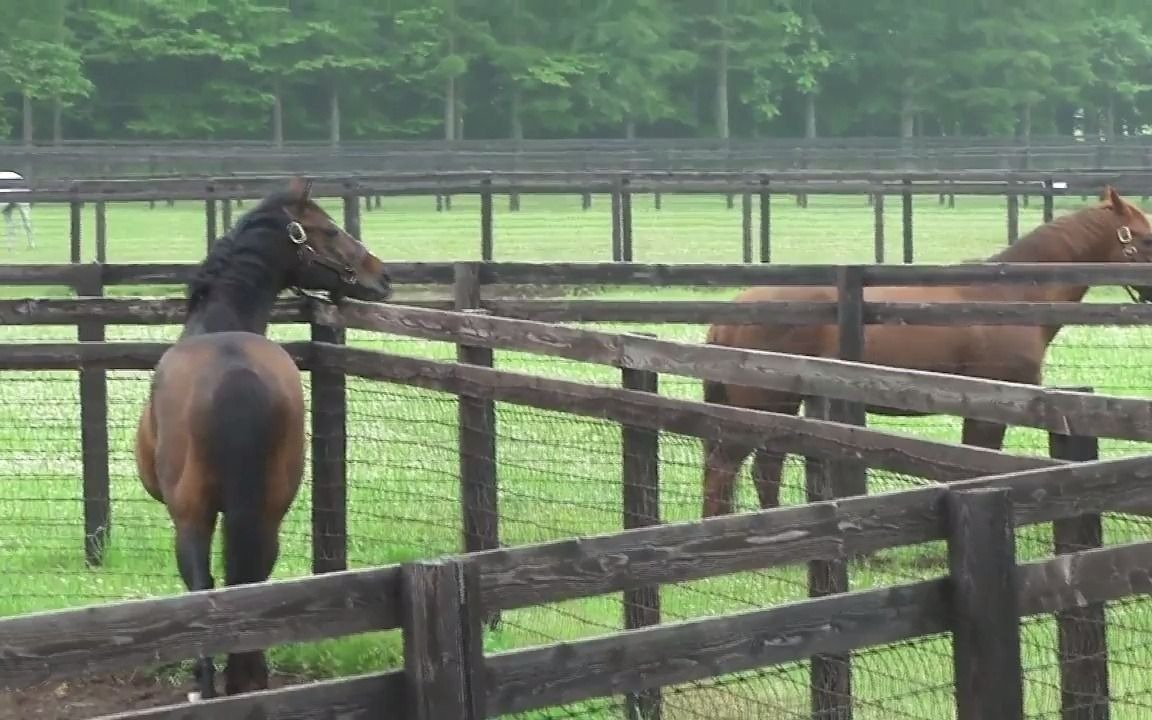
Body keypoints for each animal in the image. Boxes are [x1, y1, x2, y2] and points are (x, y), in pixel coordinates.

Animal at [135, 177, 391, 700]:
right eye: (330, 230)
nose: (382, 275)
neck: (221, 322)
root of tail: (237, 376)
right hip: (271, 510)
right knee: (251, 579)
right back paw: (250, 676)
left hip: (191, 515)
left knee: (204, 584)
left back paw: (209, 686)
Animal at [695, 186, 1152, 516]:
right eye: (1146, 238)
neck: (1008, 297)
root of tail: (728, 317)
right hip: (763, 406)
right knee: (725, 468)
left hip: (782, 408)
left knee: (763, 468)